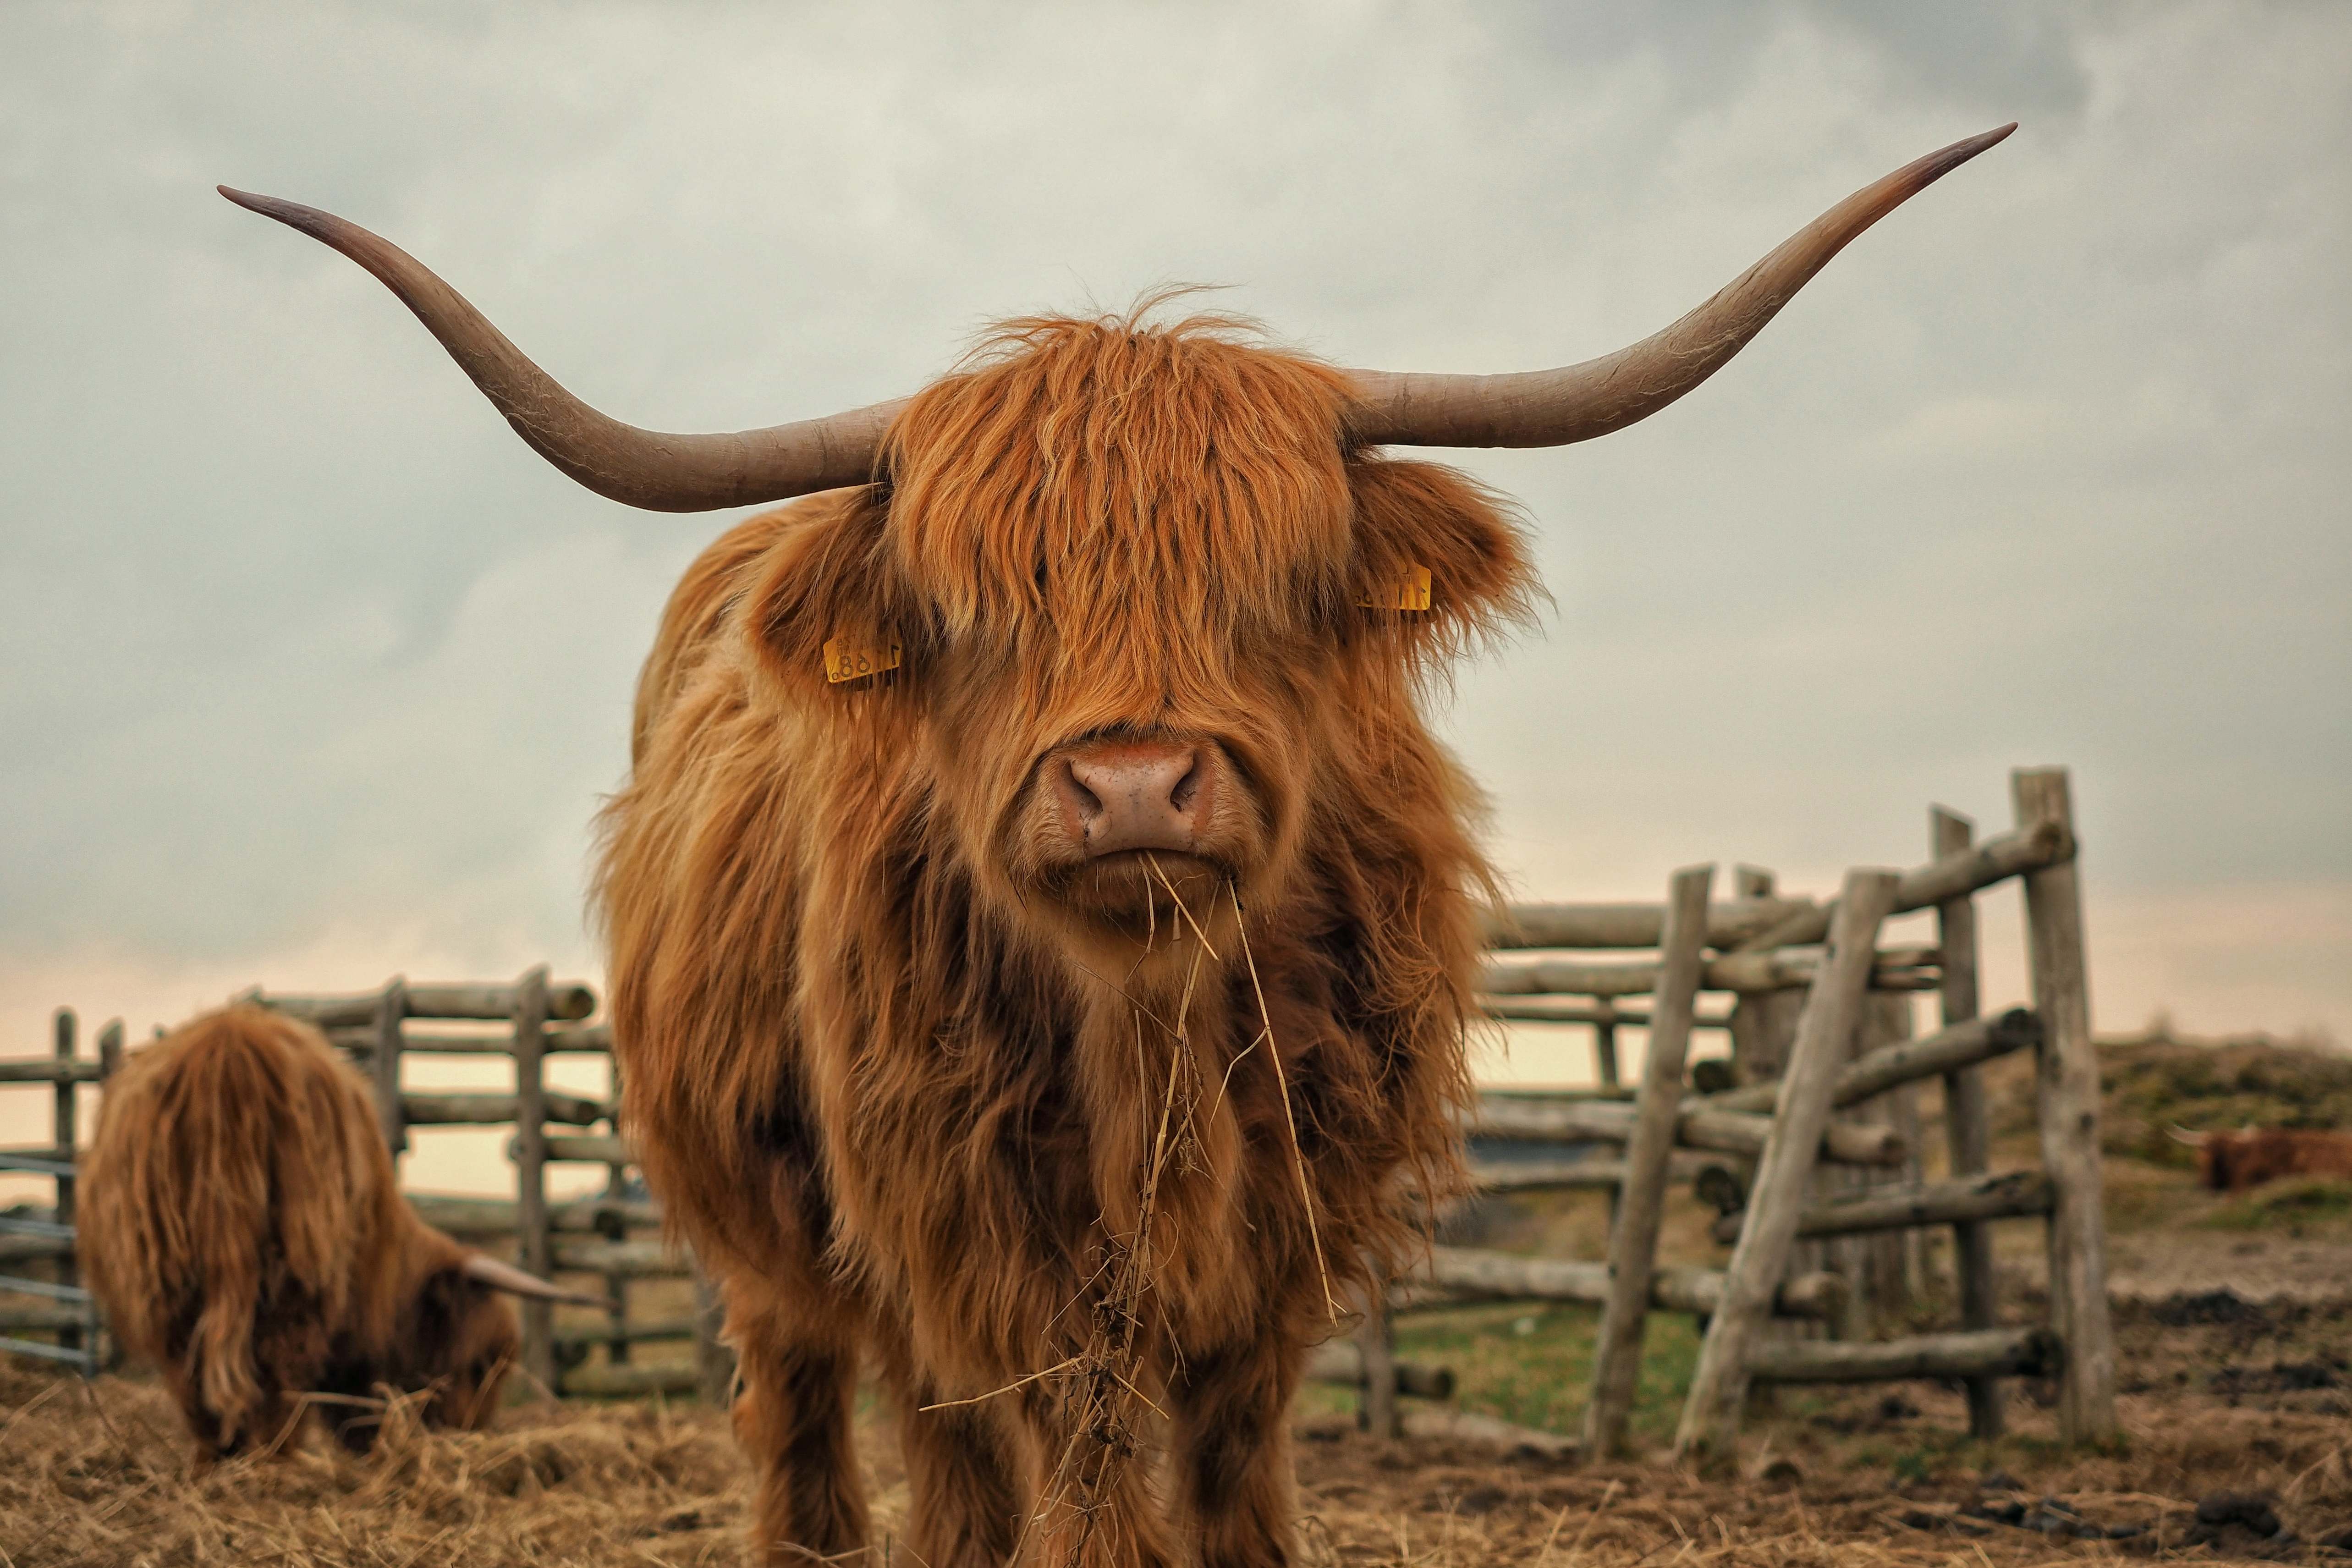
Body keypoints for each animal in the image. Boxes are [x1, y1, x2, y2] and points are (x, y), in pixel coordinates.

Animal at [82, 1011, 602, 1467]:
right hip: (296, 1266)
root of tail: (230, 1047)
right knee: (275, 1367)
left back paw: (216, 1464)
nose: (470, 1434)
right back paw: (277, 1460)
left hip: (166, 1271)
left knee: (192, 1372)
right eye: (480, 1364)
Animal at [225, 126, 2022, 1568]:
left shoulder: (1291, 1237)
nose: (1139, 788)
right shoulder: (973, 1231)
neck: (1148, 1032)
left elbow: (1228, 1460)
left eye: (1277, 582)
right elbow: (1064, 1456)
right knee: (842, 1422)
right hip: (780, 1232)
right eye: (971, 610)